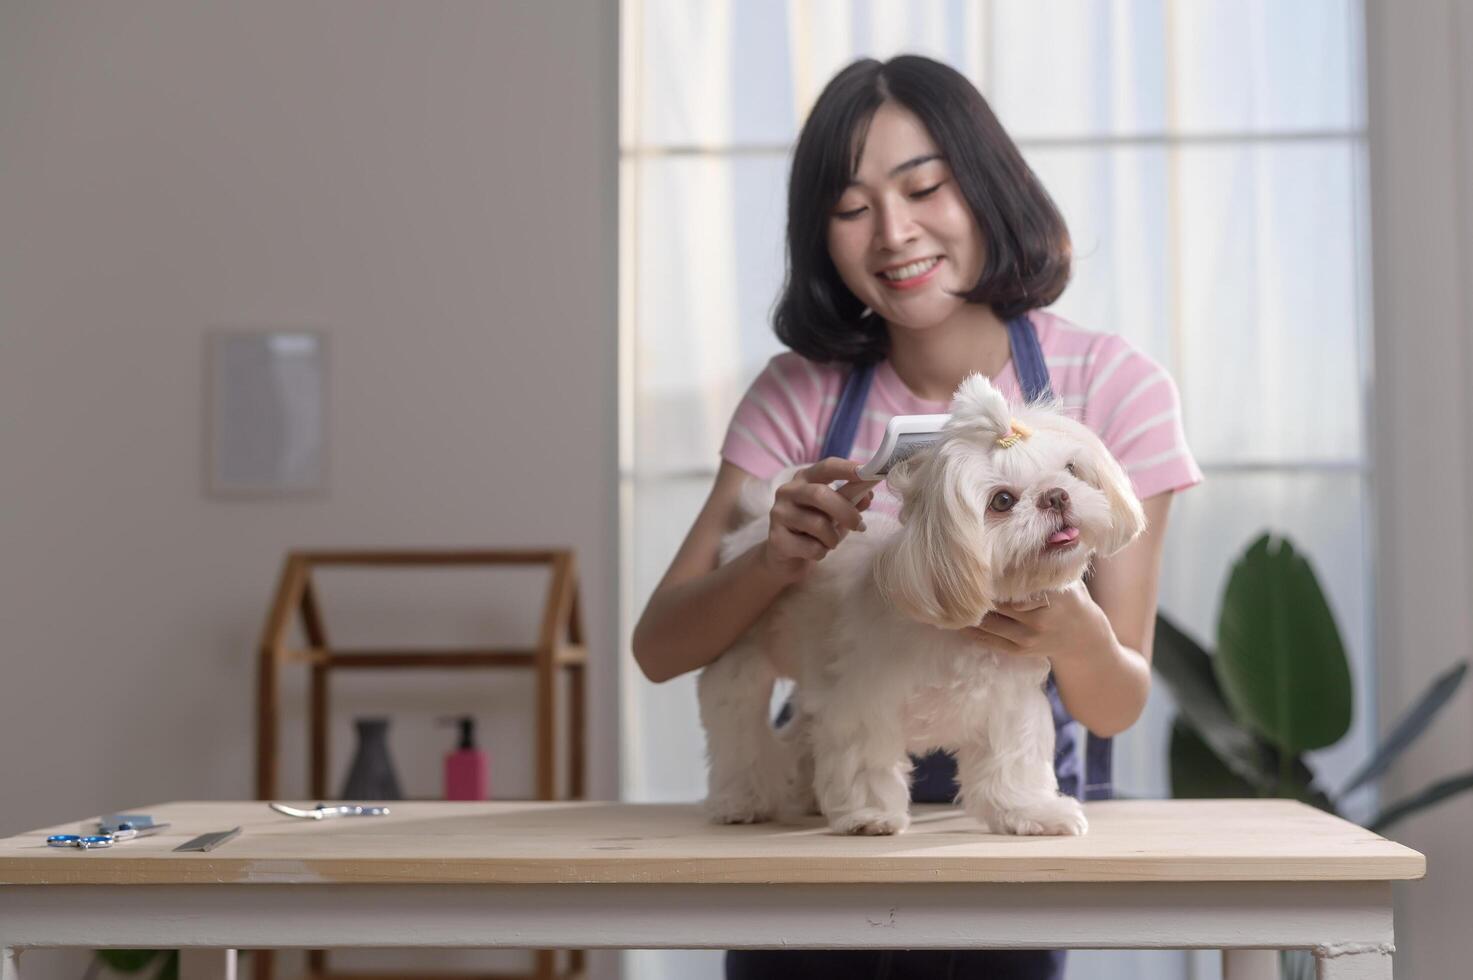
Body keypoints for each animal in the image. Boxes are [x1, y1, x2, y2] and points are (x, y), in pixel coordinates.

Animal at [695, 372, 1143, 831]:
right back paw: (741, 801)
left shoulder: (1009, 705)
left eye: (1070, 470)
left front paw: (1032, 811)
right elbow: (865, 761)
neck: (953, 628)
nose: (1056, 495)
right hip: (743, 666)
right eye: (1002, 501)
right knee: (739, 734)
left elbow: (1012, 763)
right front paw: (870, 815)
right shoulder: (862, 701)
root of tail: (751, 531)